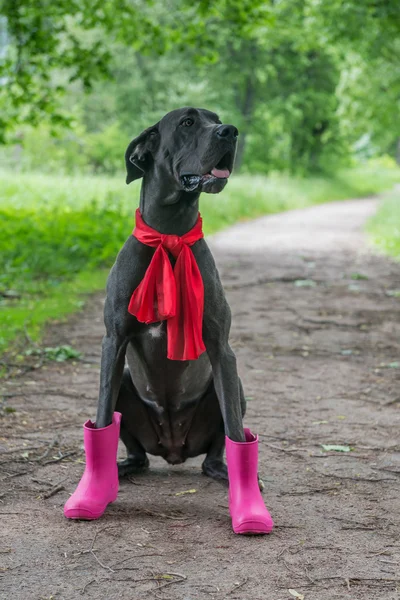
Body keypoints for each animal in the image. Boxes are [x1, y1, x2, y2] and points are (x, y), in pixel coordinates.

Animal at [96, 106, 247, 482]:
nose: (230, 131)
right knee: (137, 451)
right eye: (188, 123)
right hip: (126, 383)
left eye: (216, 118)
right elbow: (102, 415)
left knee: (216, 447)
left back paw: (222, 471)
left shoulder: (222, 348)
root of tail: (174, 449)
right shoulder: (113, 341)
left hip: (235, 387)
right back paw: (122, 468)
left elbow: (235, 428)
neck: (170, 234)